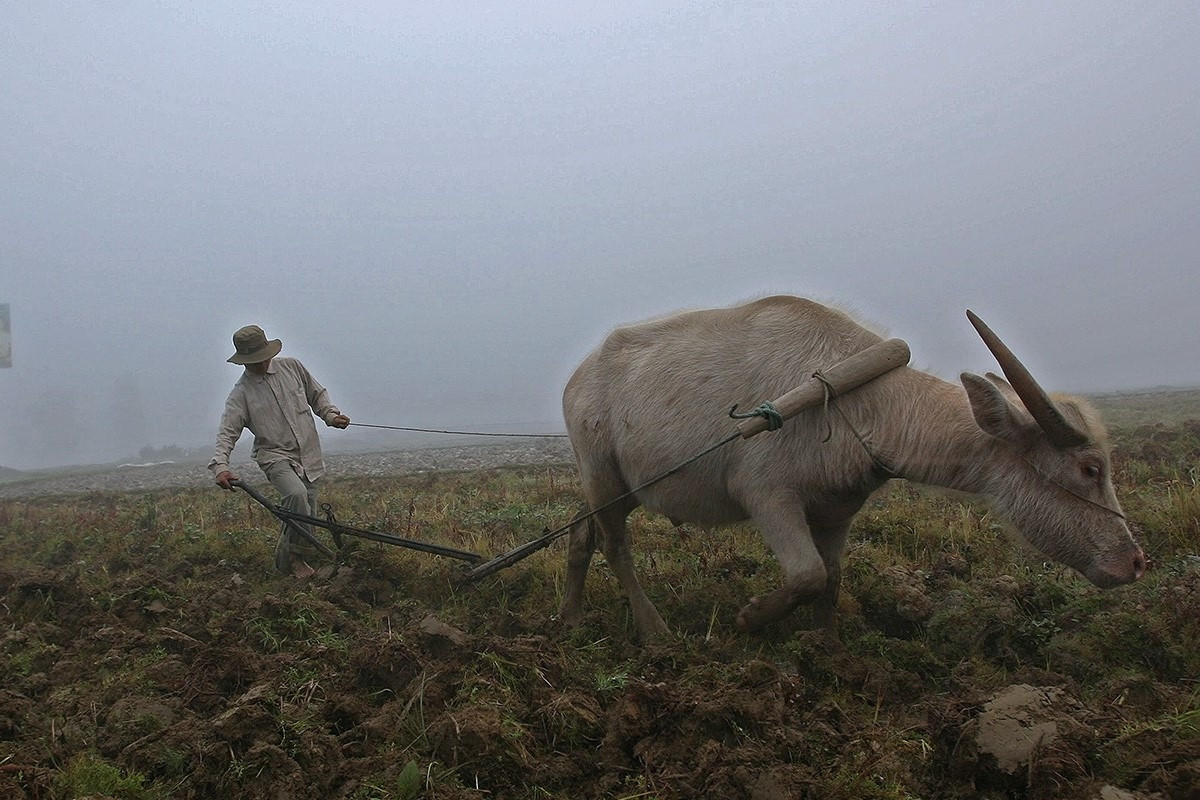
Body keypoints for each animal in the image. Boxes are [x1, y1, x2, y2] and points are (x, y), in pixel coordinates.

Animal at [556, 297, 1147, 642]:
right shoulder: (768, 497)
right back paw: (653, 631)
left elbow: (832, 577)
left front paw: (824, 647)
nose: (1134, 562)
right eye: (1090, 468)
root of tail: (578, 378)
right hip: (603, 475)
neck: (860, 401)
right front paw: (750, 617)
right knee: (615, 545)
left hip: (614, 486)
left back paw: (571, 619)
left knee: (582, 536)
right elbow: (807, 574)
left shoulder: (838, 511)